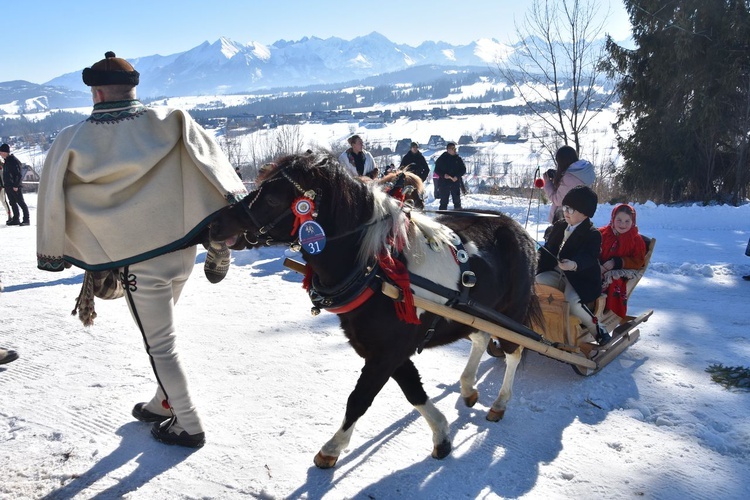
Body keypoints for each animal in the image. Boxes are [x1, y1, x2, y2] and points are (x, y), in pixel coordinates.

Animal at [212, 152, 540, 468]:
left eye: (272, 199)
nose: (213, 225)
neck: (377, 270)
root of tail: (518, 230)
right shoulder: (386, 352)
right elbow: (414, 392)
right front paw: (441, 434)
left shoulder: (387, 353)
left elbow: (360, 398)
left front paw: (332, 448)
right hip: (477, 315)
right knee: (481, 338)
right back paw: (469, 387)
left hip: (511, 313)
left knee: (513, 351)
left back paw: (499, 403)